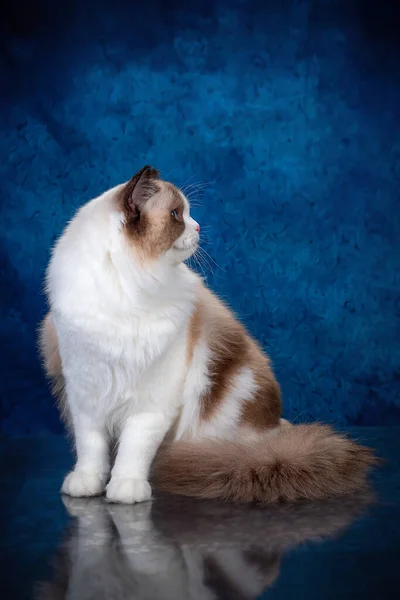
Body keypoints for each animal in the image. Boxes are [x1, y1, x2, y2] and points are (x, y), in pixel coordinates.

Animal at [39, 165, 376, 506]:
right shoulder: (86, 393)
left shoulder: (150, 404)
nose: (199, 226)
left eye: (187, 213)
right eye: (177, 214)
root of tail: (276, 439)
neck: (127, 288)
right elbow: (91, 449)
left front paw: (126, 488)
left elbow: (133, 449)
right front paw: (87, 483)